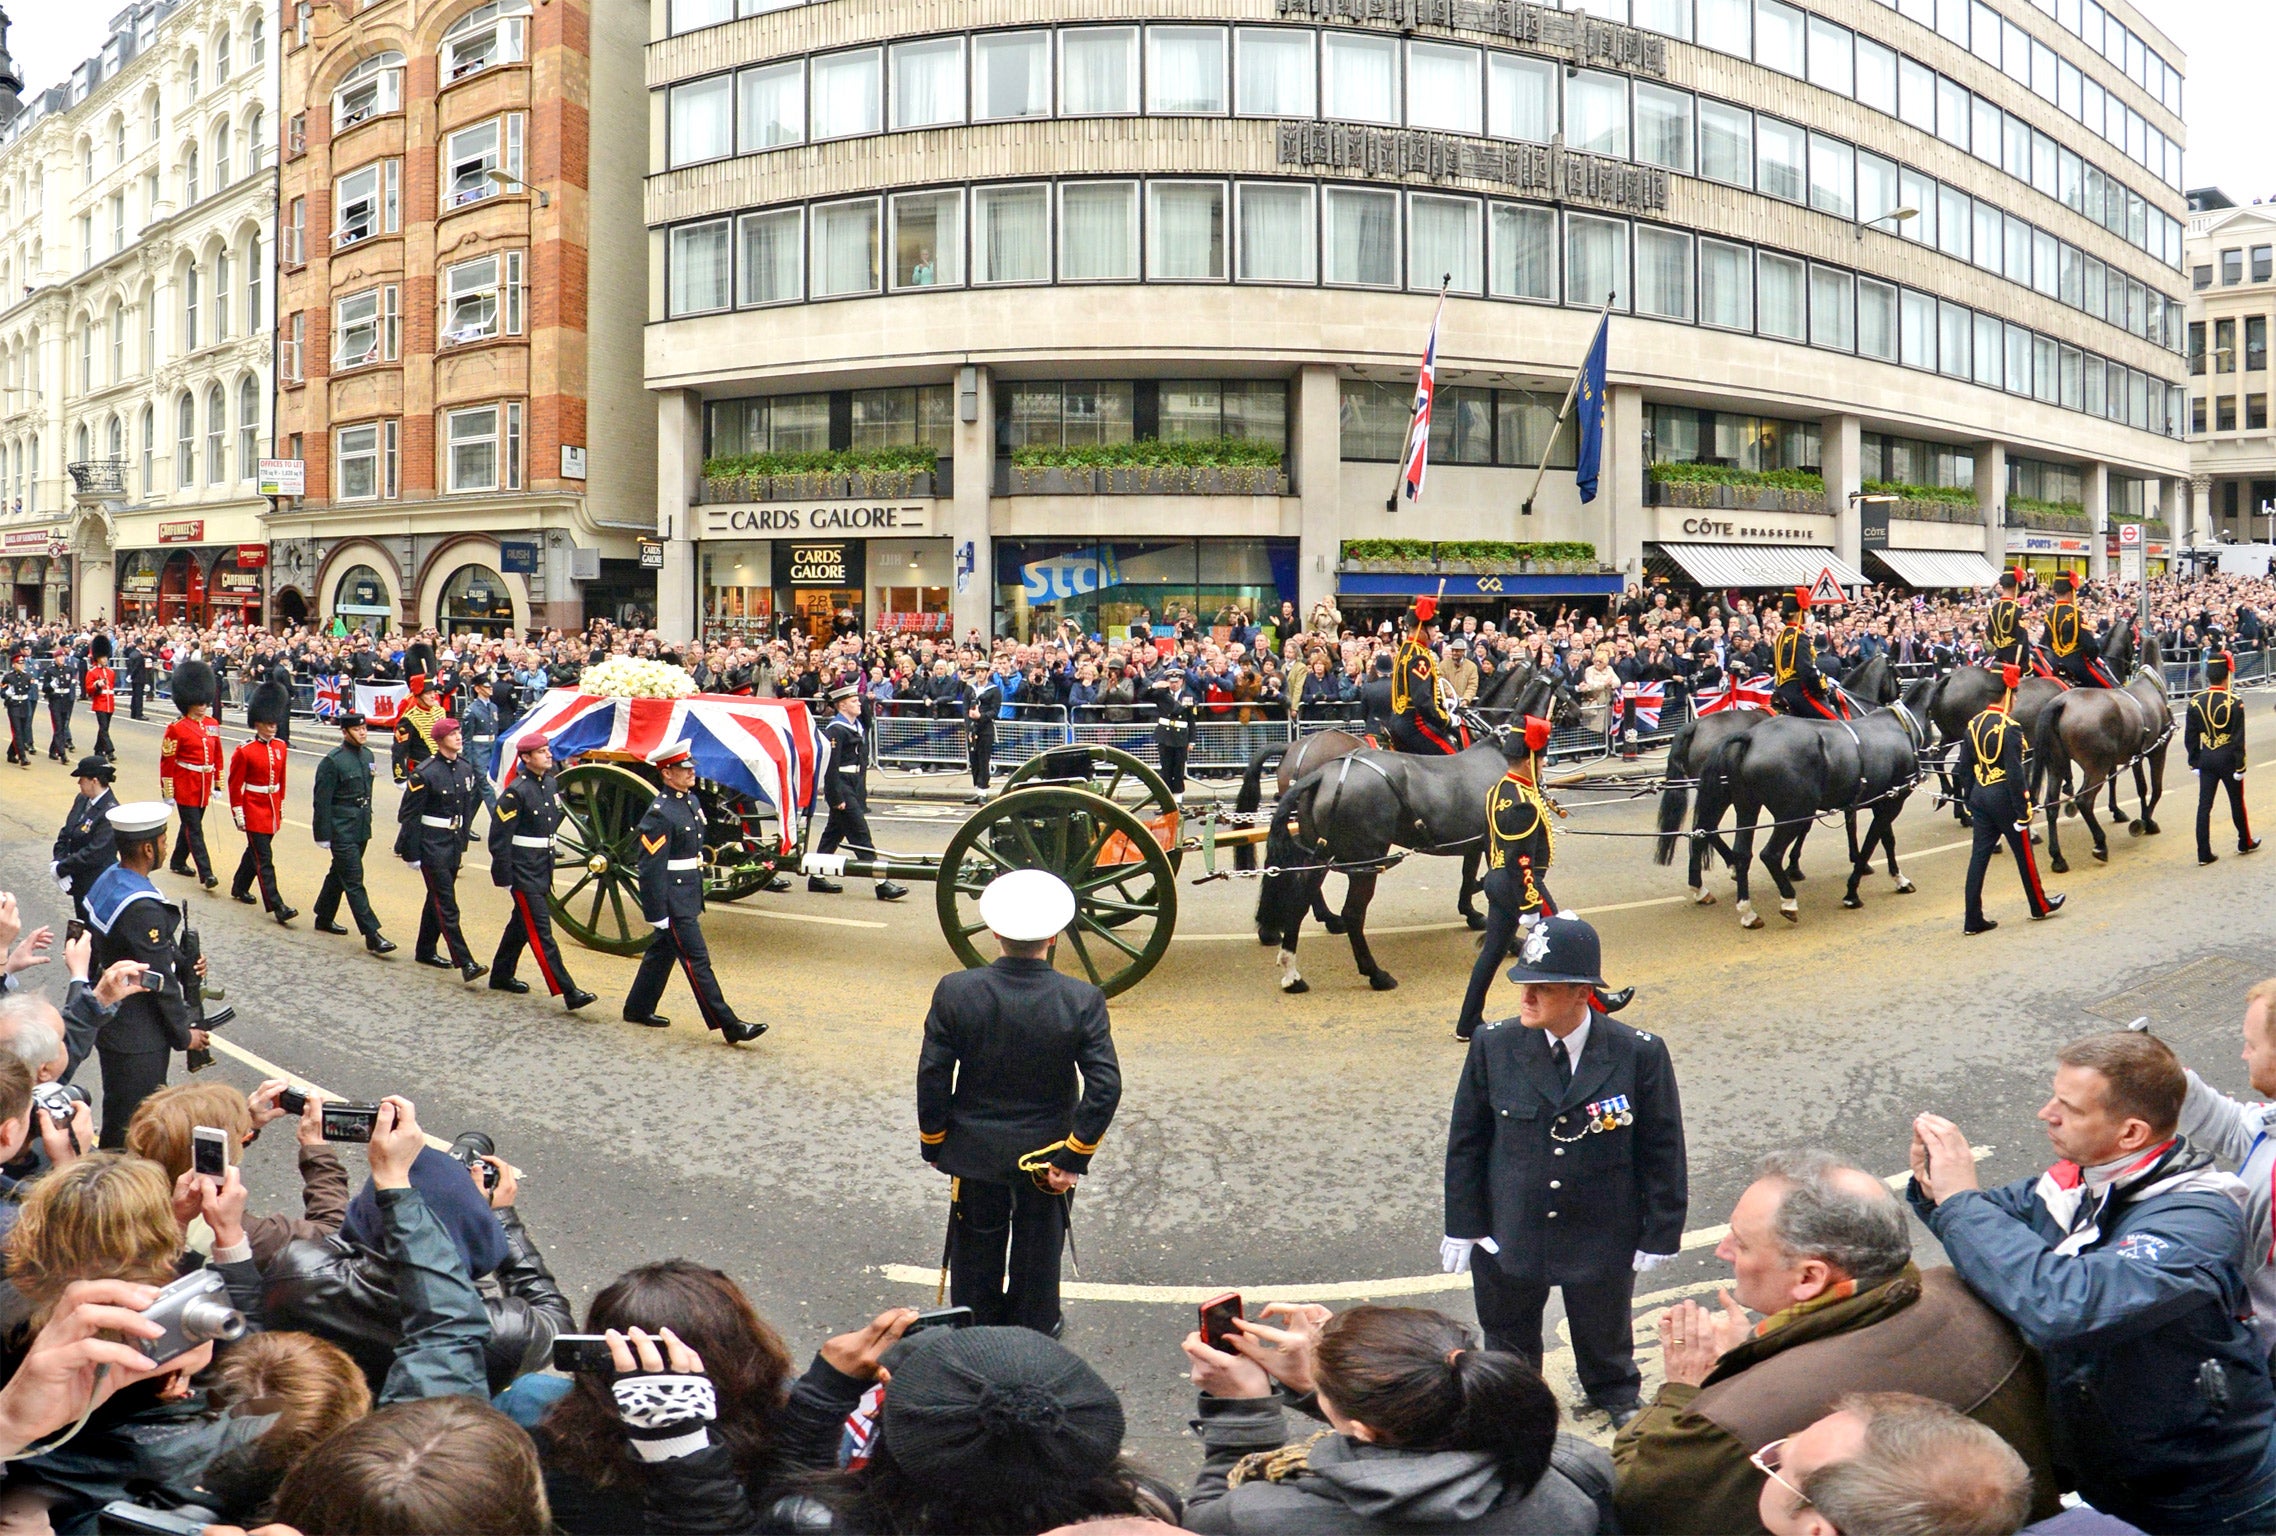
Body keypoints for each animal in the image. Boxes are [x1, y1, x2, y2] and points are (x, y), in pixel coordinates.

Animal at [1247, 678, 1584, 996]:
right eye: (1564, 690)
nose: (1580, 713)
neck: (1501, 754)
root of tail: (1320, 773)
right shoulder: (1495, 845)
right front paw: (1502, 935)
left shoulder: (1476, 842)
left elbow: (1474, 878)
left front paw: (1476, 914)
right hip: (1364, 864)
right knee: (1353, 914)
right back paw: (1374, 972)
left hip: (1321, 856)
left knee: (1300, 902)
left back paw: (1293, 971)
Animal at [1656, 650, 1902, 901]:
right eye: (1896, 672)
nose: (1898, 699)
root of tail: (1694, 725)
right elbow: (1841, 823)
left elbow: (1809, 825)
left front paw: (1794, 865)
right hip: (1721, 792)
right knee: (1707, 828)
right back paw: (1719, 873)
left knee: (1703, 829)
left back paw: (1705, 881)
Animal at [1702, 678, 1930, 923]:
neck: (1899, 727)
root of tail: (1749, 737)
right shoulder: (1891, 802)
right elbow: (1870, 843)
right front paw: (1853, 890)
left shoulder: (1883, 802)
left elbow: (1884, 839)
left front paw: (1896, 878)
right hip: (1793, 812)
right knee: (1769, 854)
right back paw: (1788, 900)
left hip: (1747, 807)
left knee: (1741, 852)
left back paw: (1747, 910)